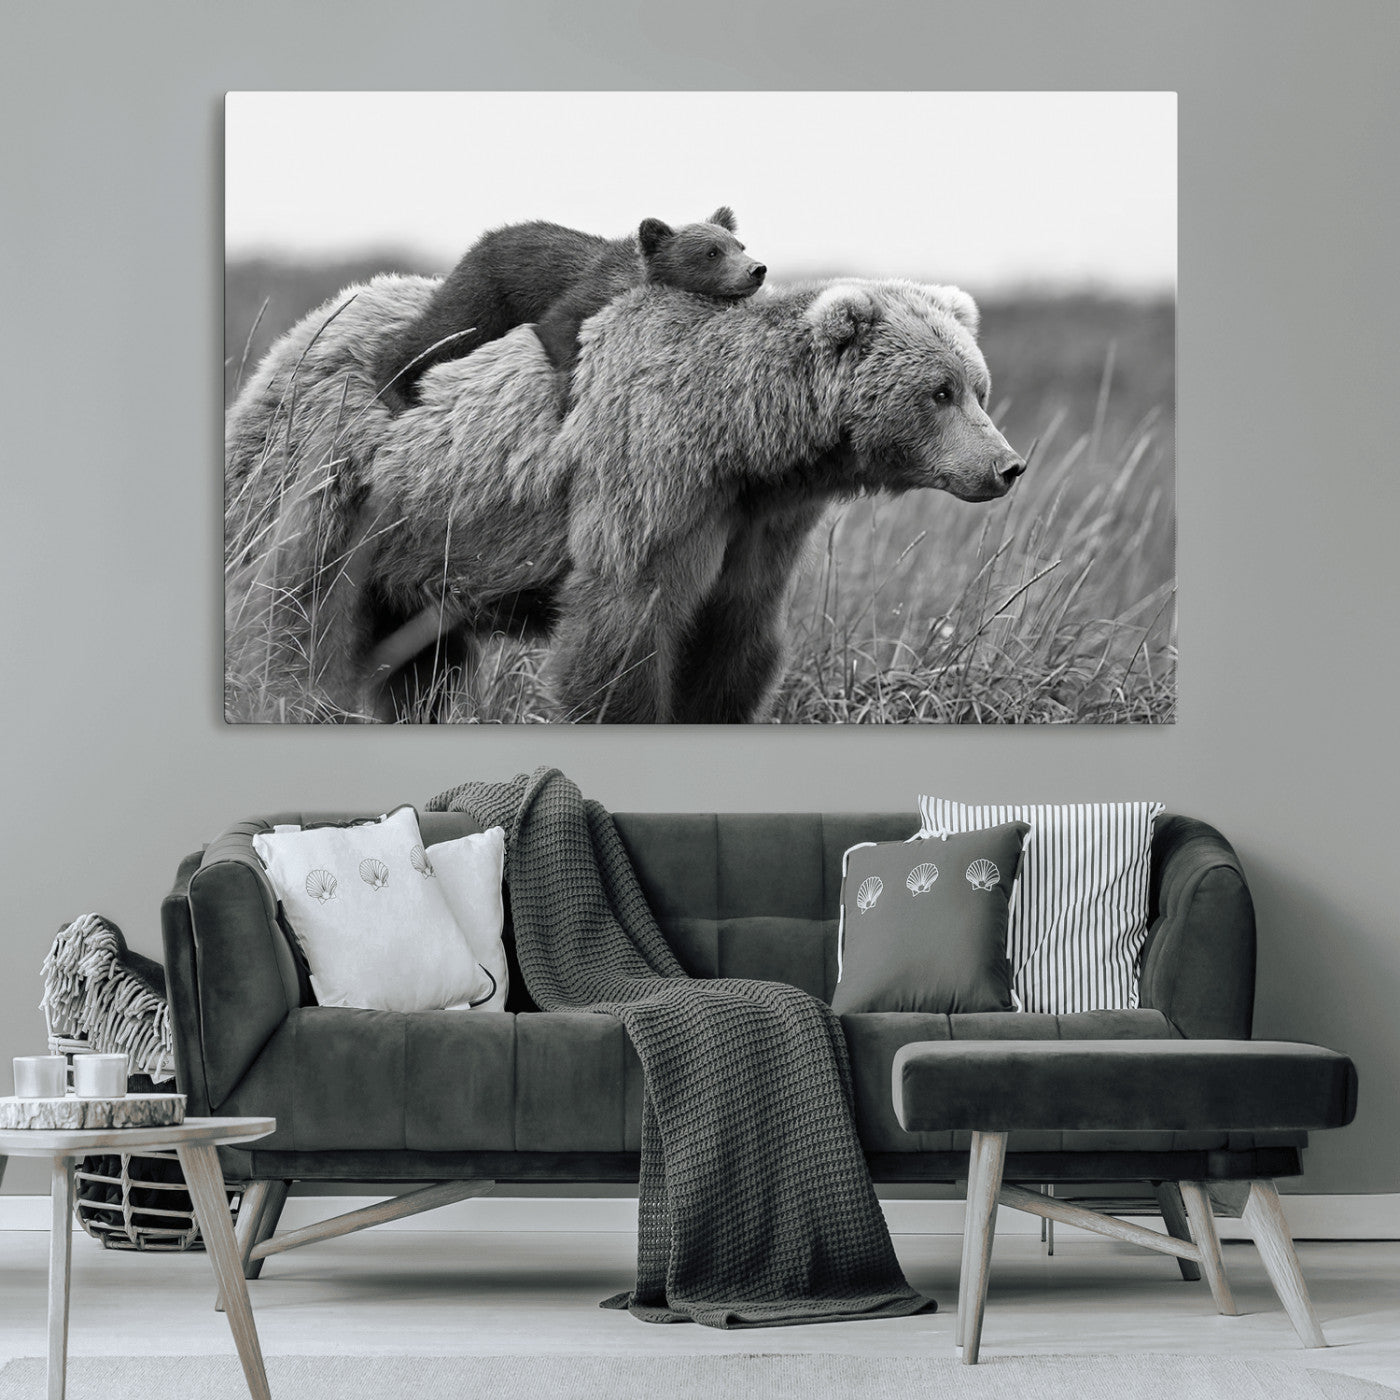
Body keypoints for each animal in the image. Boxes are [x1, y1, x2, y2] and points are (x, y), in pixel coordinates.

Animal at [224, 273, 1024, 724]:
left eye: (978, 387)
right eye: (940, 391)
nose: (1007, 465)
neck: (745, 439)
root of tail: (304, 329)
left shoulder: (759, 525)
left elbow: (734, 639)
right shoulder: (651, 477)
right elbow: (624, 627)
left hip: (420, 543)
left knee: (421, 664)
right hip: (332, 480)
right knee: (293, 609)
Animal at [369, 207, 766, 411]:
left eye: (739, 244)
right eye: (711, 252)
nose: (756, 269)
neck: (634, 278)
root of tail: (481, 240)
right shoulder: (586, 293)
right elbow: (558, 327)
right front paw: (567, 397)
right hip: (486, 293)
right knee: (443, 330)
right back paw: (395, 388)